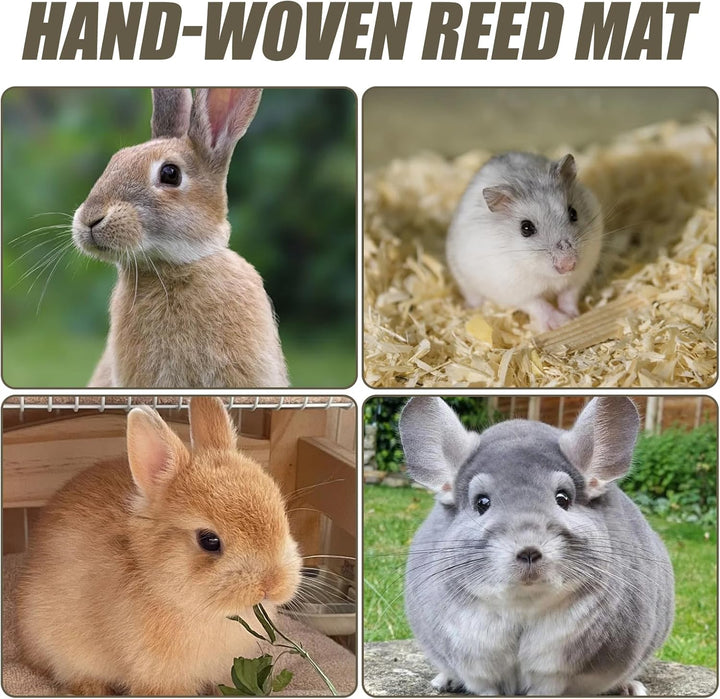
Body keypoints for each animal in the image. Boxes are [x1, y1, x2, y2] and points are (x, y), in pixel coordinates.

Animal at [400, 396, 674, 696]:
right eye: (482, 503)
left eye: (563, 498)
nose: (529, 550)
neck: (524, 603)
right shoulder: (476, 664)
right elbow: (486, 687)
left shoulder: (555, 671)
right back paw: (444, 681)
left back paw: (630, 687)